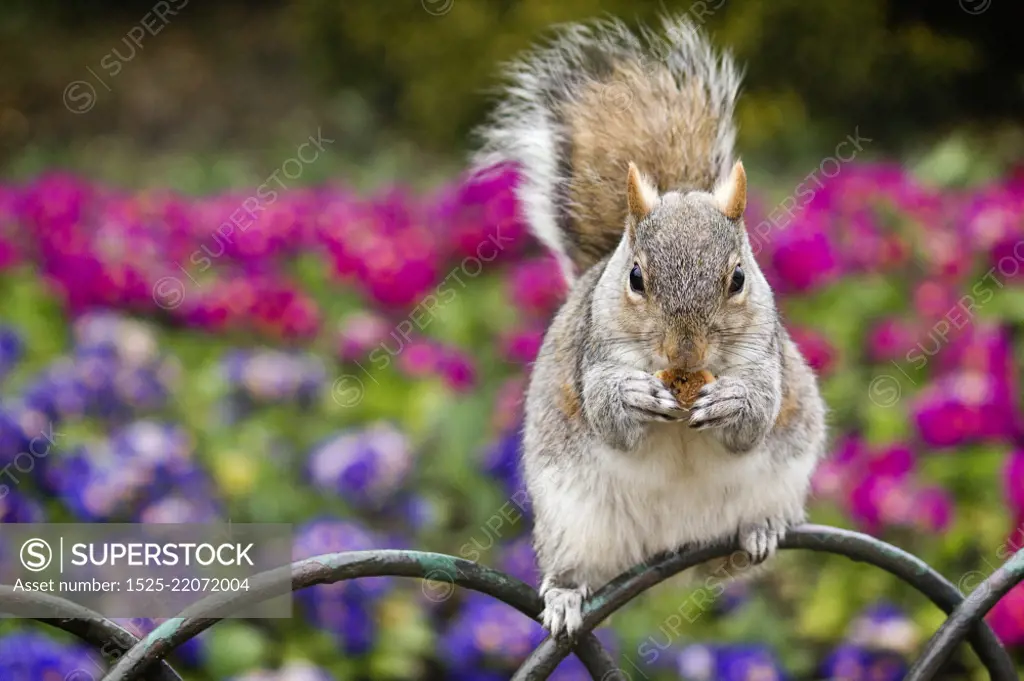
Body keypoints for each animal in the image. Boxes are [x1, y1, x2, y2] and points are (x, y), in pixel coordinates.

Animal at [475, 14, 827, 639]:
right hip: (572, 521)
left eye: (739, 278)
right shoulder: (591, 356)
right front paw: (633, 396)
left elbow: (756, 416)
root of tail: (671, 548)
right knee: (574, 567)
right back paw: (564, 595)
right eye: (636, 277)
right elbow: (608, 414)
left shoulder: (765, 358)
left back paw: (760, 529)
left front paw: (732, 402)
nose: (684, 354)